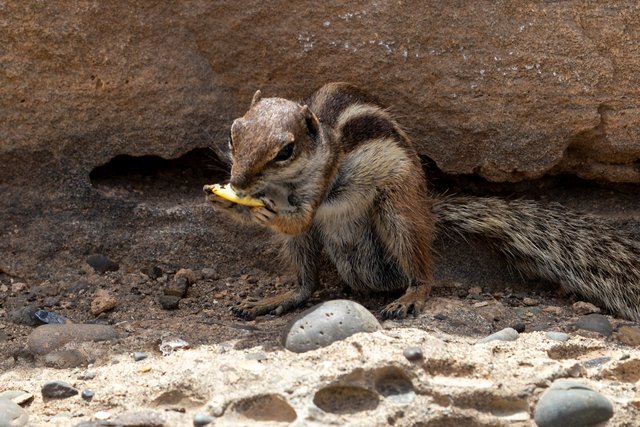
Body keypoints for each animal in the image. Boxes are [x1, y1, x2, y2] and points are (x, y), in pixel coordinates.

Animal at [204, 82, 640, 320]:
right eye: (233, 133)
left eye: (286, 150)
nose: (237, 181)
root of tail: (426, 207)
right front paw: (225, 200)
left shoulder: (320, 182)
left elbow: (300, 217)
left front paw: (261, 210)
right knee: (305, 282)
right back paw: (274, 299)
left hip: (396, 211)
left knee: (422, 268)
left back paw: (410, 295)